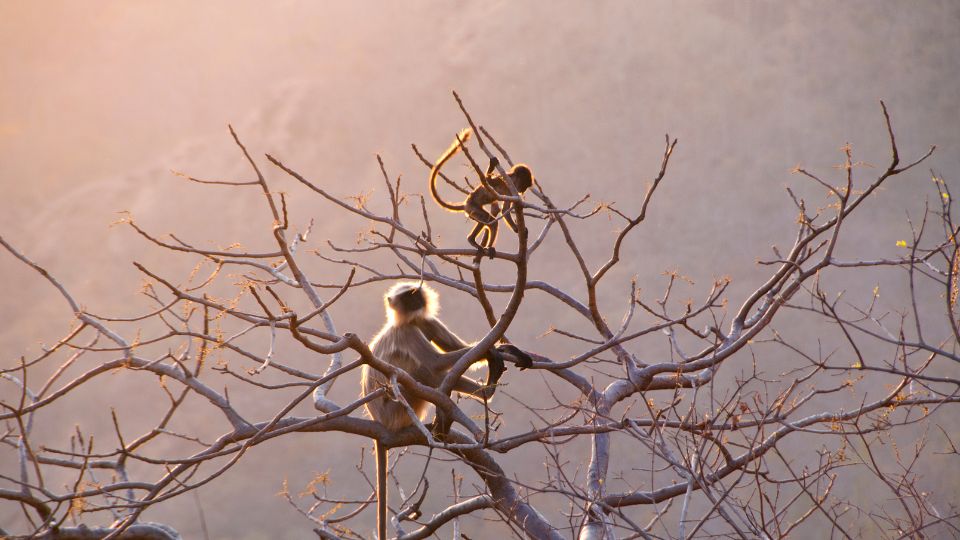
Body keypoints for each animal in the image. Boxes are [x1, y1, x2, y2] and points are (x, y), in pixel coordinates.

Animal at [360, 282, 531, 540]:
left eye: (414, 295)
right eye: (406, 298)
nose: (415, 301)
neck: (408, 320)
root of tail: (378, 420)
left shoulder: (425, 321)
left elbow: (458, 348)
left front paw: (505, 350)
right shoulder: (406, 332)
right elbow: (434, 364)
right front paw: (492, 353)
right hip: (397, 409)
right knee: (422, 373)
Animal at [429, 128, 535, 259]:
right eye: (524, 185)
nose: (523, 191)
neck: (511, 180)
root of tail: (466, 203)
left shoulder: (511, 192)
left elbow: (505, 210)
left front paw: (518, 230)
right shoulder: (504, 180)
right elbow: (487, 181)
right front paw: (492, 164)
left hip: (472, 211)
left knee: (488, 222)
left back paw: (476, 242)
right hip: (472, 207)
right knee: (491, 222)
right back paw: (481, 244)